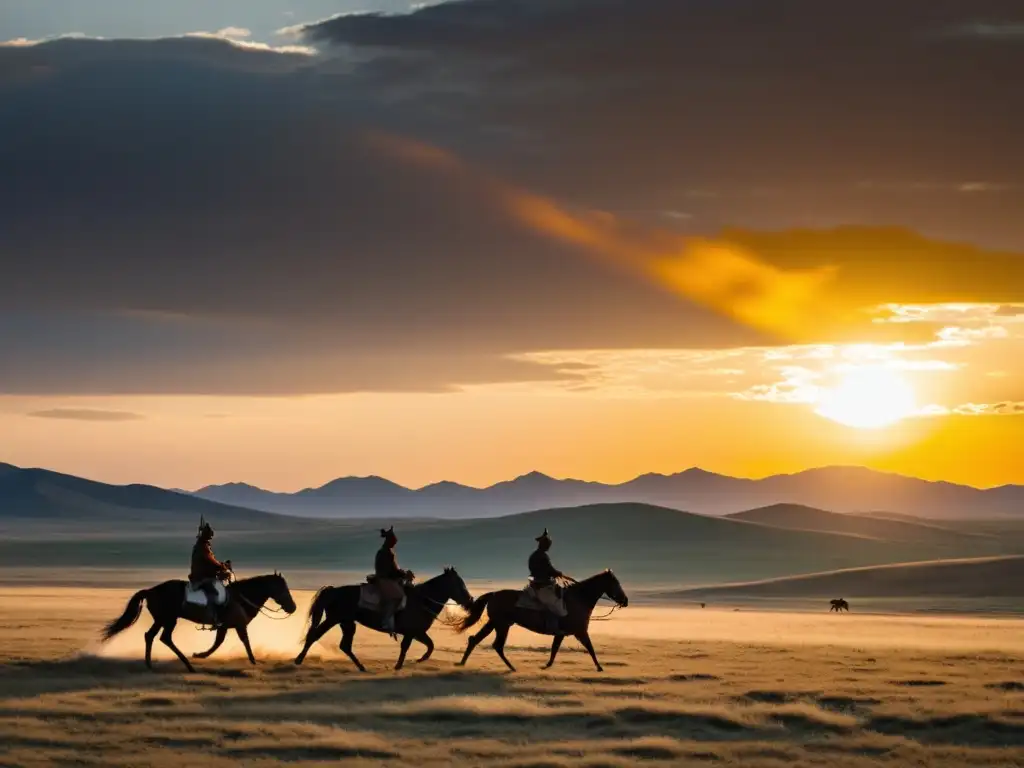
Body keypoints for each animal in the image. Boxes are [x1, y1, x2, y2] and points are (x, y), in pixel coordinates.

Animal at [99, 573, 296, 671]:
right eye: (283, 588)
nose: (293, 607)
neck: (241, 597)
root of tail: (151, 591)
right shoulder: (238, 625)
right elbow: (244, 642)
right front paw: (254, 662)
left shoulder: (224, 626)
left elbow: (218, 642)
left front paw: (201, 654)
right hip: (168, 619)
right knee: (164, 638)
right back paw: (187, 665)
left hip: (162, 619)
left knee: (151, 636)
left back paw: (149, 664)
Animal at [294, 565, 473, 671]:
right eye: (459, 583)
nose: (470, 600)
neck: (422, 600)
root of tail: (333, 590)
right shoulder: (411, 633)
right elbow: (407, 647)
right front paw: (399, 666)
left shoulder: (418, 633)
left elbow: (430, 645)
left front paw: (420, 659)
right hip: (334, 619)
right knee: (314, 635)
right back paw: (298, 659)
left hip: (347, 623)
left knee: (345, 645)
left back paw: (362, 667)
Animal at [454, 573, 626, 671]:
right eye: (616, 583)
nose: (625, 601)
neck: (579, 599)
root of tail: (494, 594)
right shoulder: (580, 632)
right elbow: (590, 648)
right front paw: (600, 667)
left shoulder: (562, 633)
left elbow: (554, 649)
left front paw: (546, 665)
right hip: (502, 625)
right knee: (497, 645)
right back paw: (512, 668)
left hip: (495, 623)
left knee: (475, 639)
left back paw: (462, 663)